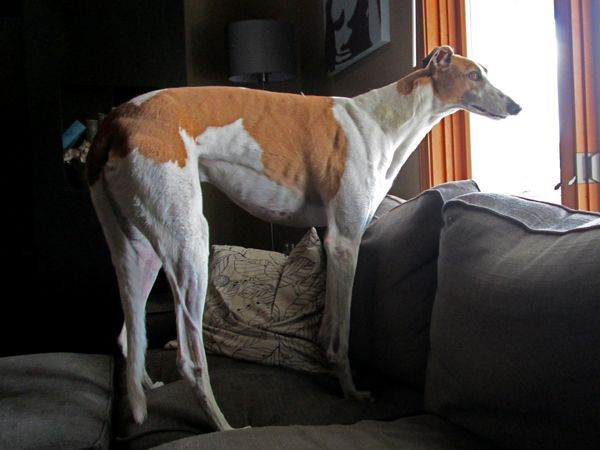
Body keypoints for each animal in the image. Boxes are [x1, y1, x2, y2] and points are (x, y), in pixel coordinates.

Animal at [85, 46, 520, 432]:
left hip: (138, 249)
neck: (383, 120)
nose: (516, 107)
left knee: (128, 336)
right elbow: (341, 334)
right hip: (188, 243)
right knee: (190, 362)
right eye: (474, 75)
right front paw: (351, 392)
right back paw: (224, 426)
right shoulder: (345, 241)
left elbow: (328, 328)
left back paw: (147, 389)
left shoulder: (332, 241)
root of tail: (113, 120)